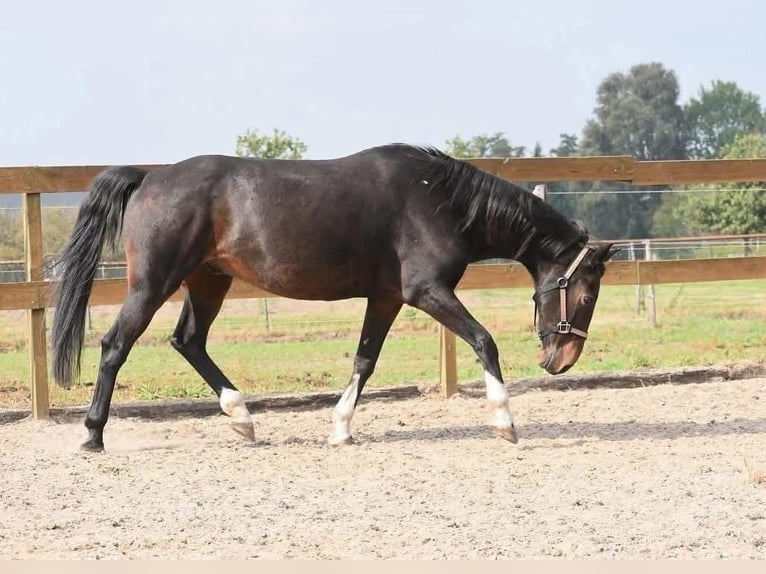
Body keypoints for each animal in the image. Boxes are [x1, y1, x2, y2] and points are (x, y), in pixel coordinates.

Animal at [50, 144, 615, 452]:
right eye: (587, 292)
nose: (562, 360)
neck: (441, 200)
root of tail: (151, 176)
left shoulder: (386, 298)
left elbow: (365, 360)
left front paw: (340, 429)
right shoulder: (427, 291)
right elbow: (484, 340)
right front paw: (505, 423)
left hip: (209, 281)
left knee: (188, 341)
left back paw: (242, 418)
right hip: (153, 283)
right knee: (115, 345)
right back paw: (92, 435)